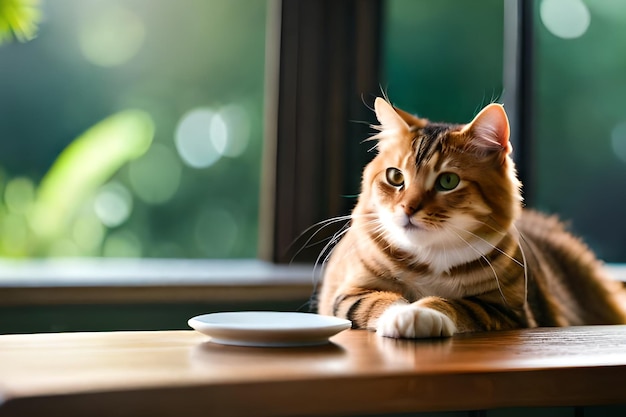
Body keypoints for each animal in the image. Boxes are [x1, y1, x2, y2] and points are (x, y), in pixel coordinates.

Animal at [316, 97, 624, 338]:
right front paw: (406, 314)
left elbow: (459, 304)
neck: (429, 259)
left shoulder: (509, 310)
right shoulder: (347, 294)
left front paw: (424, 313)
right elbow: (379, 300)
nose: (408, 208)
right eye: (395, 177)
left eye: (448, 181)